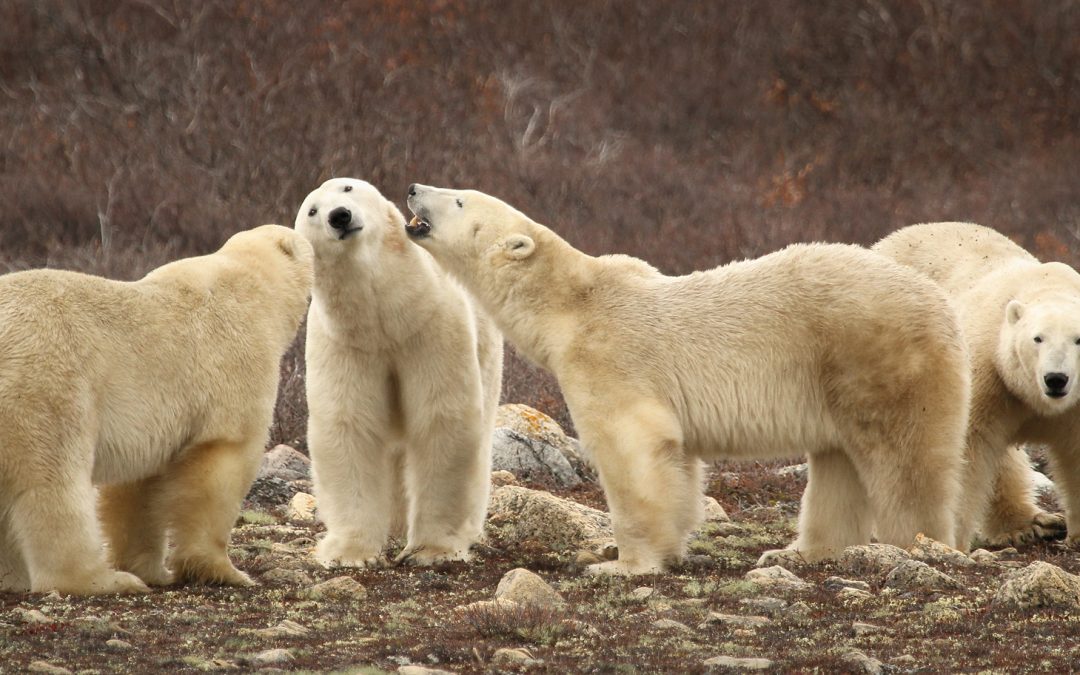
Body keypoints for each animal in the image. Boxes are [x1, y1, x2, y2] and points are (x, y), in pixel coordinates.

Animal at [0, 224, 313, 595]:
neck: (253, 284)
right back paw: (103, 579)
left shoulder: (153, 420)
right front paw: (223, 571)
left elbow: (139, 487)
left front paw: (152, 569)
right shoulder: (239, 361)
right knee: (54, 482)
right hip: (47, 379)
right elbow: (221, 464)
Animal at [295, 178, 502, 568]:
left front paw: (432, 549)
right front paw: (349, 553)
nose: (339, 216)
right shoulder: (346, 346)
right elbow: (350, 427)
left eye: (347, 188)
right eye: (313, 210)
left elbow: (441, 419)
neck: (385, 323)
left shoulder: (431, 328)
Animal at [403, 183, 970, 575]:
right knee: (838, 463)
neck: (571, 305)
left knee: (902, 463)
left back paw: (916, 545)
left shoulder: (608, 357)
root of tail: (941, 304)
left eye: (458, 199)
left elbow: (634, 446)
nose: (411, 187)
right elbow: (676, 464)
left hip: (877, 359)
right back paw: (799, 552)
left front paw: (621, 563)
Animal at [874, 221, 1078, 549]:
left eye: (1077, 339)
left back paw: (1034, 523)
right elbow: (967, 450)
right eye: (1037, 338)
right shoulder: (987, 375)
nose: (1056, 379)